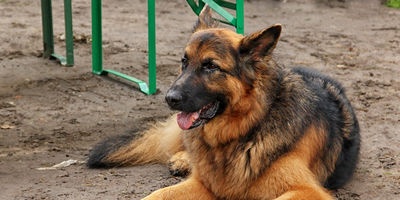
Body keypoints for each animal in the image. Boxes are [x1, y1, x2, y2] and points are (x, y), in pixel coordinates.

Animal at [89, 6, 360, 200]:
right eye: (184, 61)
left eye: (211, 66)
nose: (169, 98)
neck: (246, 128)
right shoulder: (203, 184)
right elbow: (157, 195)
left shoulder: (306, 190)